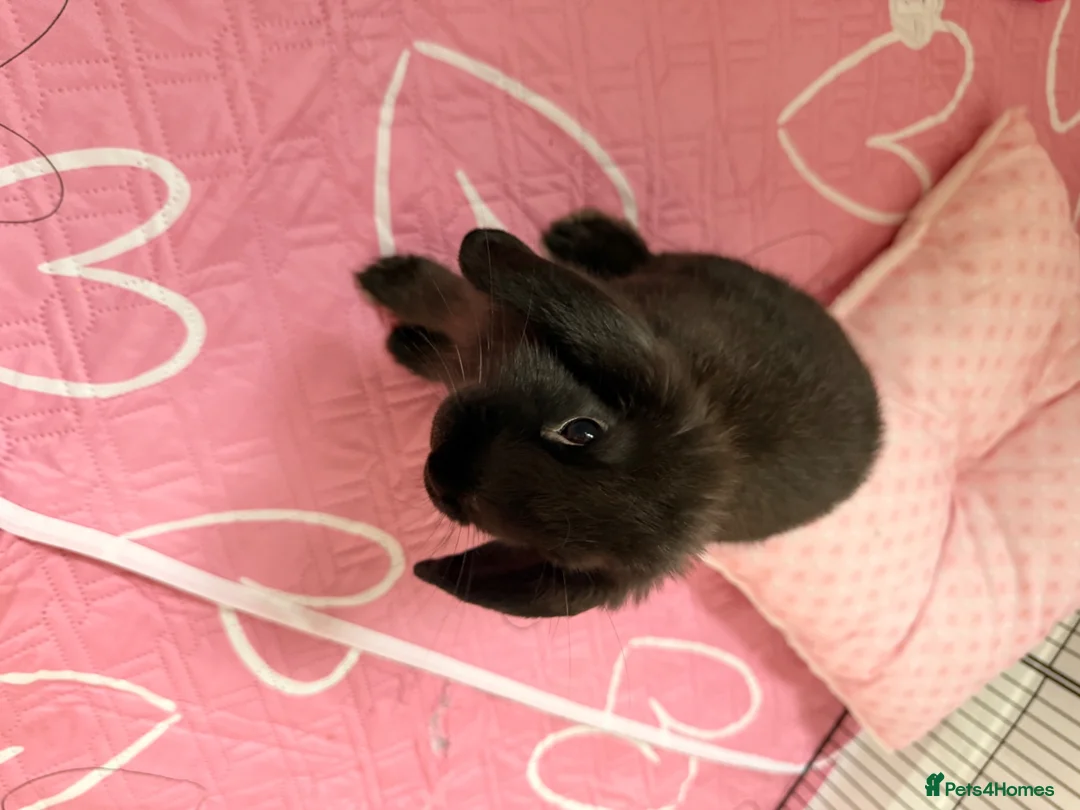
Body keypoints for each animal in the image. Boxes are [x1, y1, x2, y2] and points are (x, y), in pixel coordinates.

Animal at [355, 210, 882, 618]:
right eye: (583, 431)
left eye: (554, 551)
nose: (444, 467)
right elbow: (447, 301)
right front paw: (389, 281)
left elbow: (451, 318)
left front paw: (404, 333)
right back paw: (581, 234)